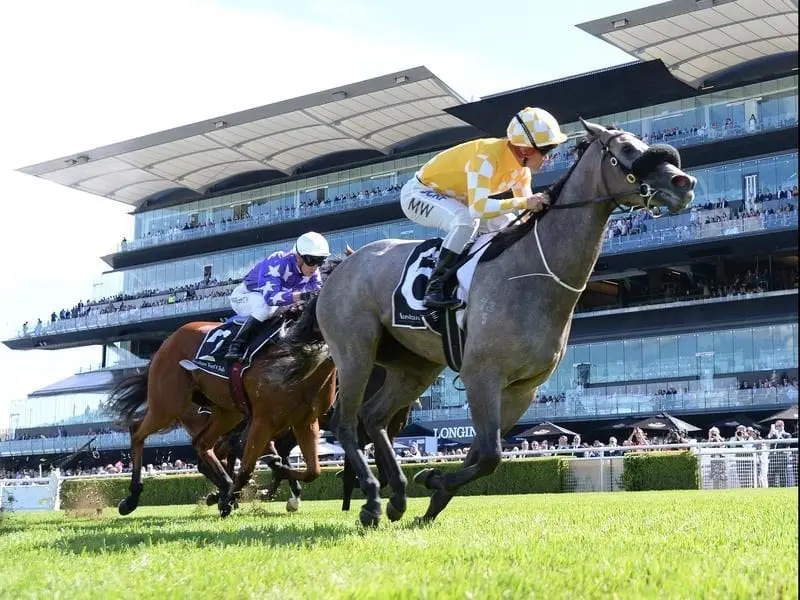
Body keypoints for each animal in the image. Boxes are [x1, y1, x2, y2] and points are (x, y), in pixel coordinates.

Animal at [310, 119, 696, 524]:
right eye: (625, 150)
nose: (683, 183)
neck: (533, 273)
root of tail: (340, 266)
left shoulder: (522, 389)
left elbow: (482, 453)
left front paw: (434, 490)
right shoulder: (481, 374)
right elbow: (492, 454)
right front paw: (434, 482)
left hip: (414, 366)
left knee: (373, 417)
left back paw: (397, 494)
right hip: (355, 352)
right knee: (345, 424)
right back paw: (371, 497)